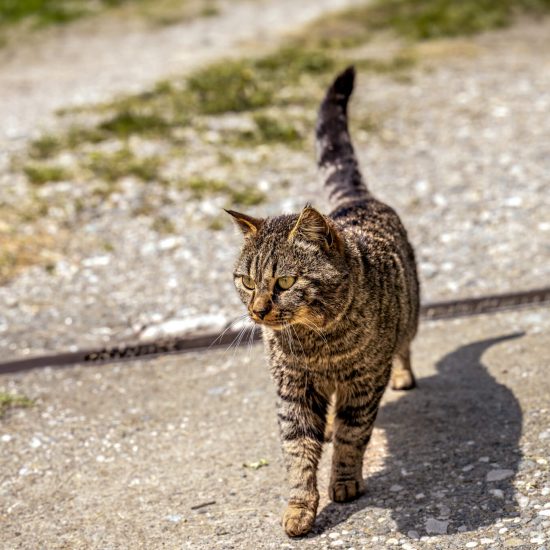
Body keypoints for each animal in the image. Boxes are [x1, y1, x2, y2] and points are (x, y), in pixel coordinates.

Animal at [226, 66, 420, 540]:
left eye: (285, 281)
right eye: (247, 281)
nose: (257, 311)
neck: (317, 342)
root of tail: (356, 200)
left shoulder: (364, 381)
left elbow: (353, 437)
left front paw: (345, 481)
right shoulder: (292, 388)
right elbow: (298, 453)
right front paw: (300, 507)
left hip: (410, 317)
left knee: (404, 347)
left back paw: (403, 375)